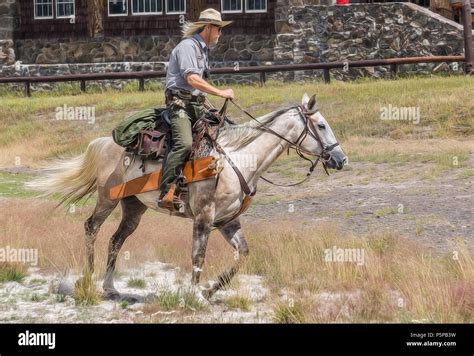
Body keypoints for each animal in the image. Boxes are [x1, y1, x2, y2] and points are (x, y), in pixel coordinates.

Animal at [27, 93, 346, 302]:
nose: (341, 159)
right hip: (107, 200)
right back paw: (86, 280)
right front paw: (193, 294)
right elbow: (197, 256)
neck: (238, 160)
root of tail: (105, 141)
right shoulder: (203, 218)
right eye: (320, 126)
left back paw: (110, 287)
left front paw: (208, 290)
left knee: (116, 240)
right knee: (91, 228)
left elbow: (241, 255)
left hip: (133, 207)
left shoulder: (228, 222)